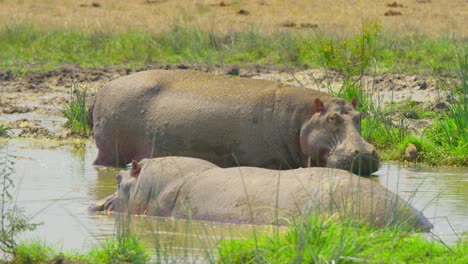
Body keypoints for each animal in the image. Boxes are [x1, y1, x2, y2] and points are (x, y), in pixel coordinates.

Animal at [90, 69, 380, 175]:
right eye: (332, 118)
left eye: (359, 117)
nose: (365, 152)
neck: (303, 118)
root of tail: (105, 87)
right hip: (109, 152)